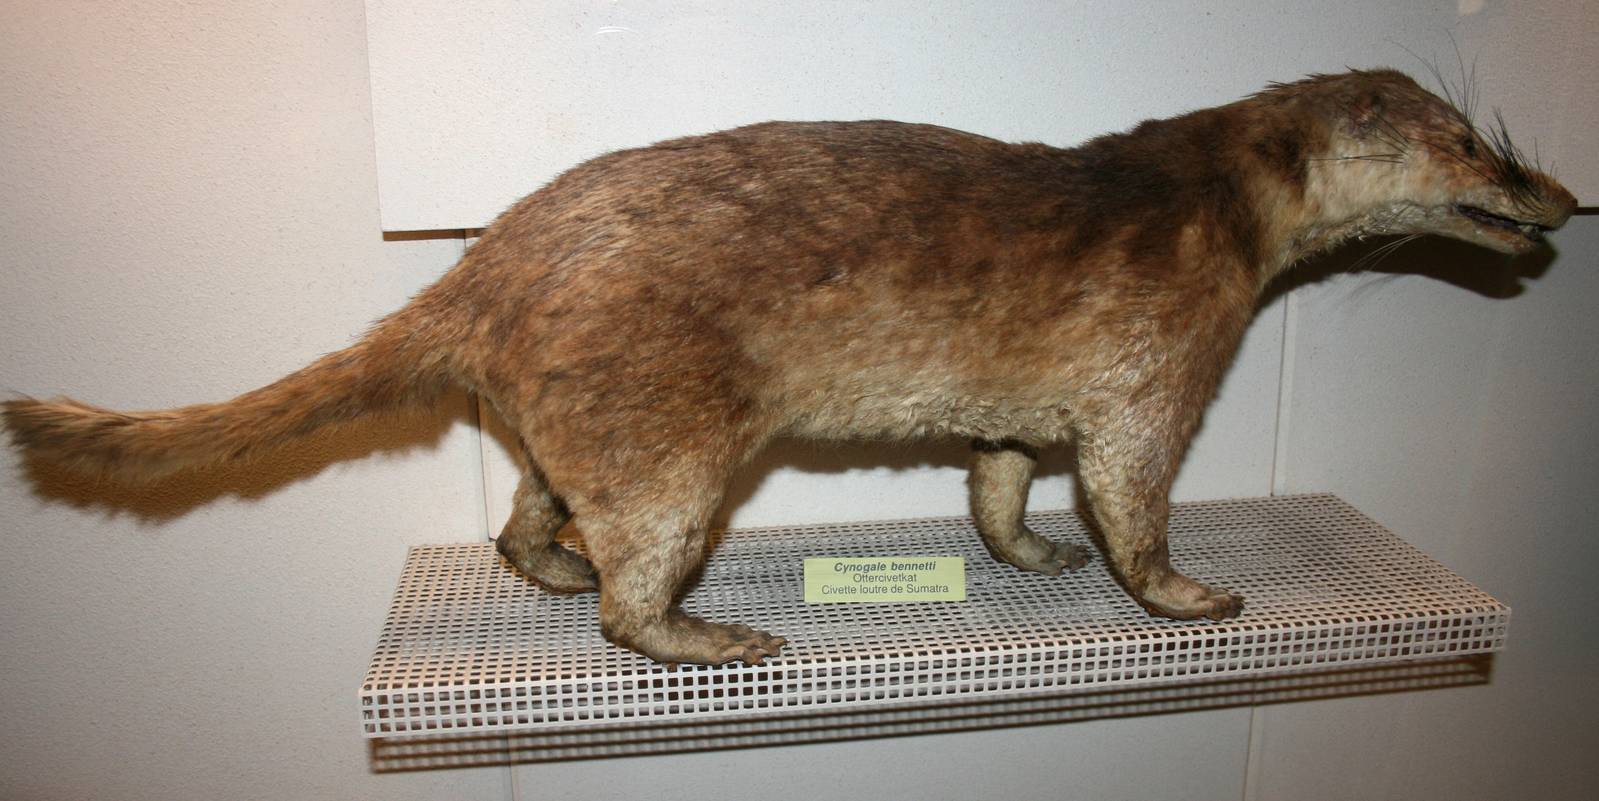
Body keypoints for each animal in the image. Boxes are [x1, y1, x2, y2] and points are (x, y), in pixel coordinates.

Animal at [3, 69, 1575, 666]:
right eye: (1481, 152)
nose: (1562, 195)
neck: (1210, 206)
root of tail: (488, 259)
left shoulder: (1019, 406)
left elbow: (1001, 483)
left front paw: (1031, 556)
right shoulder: (1156, 363)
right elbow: (1133, 498)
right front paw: (1189, 593)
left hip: (566, 423)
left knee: (528, 519)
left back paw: (554, 567)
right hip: (667, 440)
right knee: (630, 584)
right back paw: (710, 634)